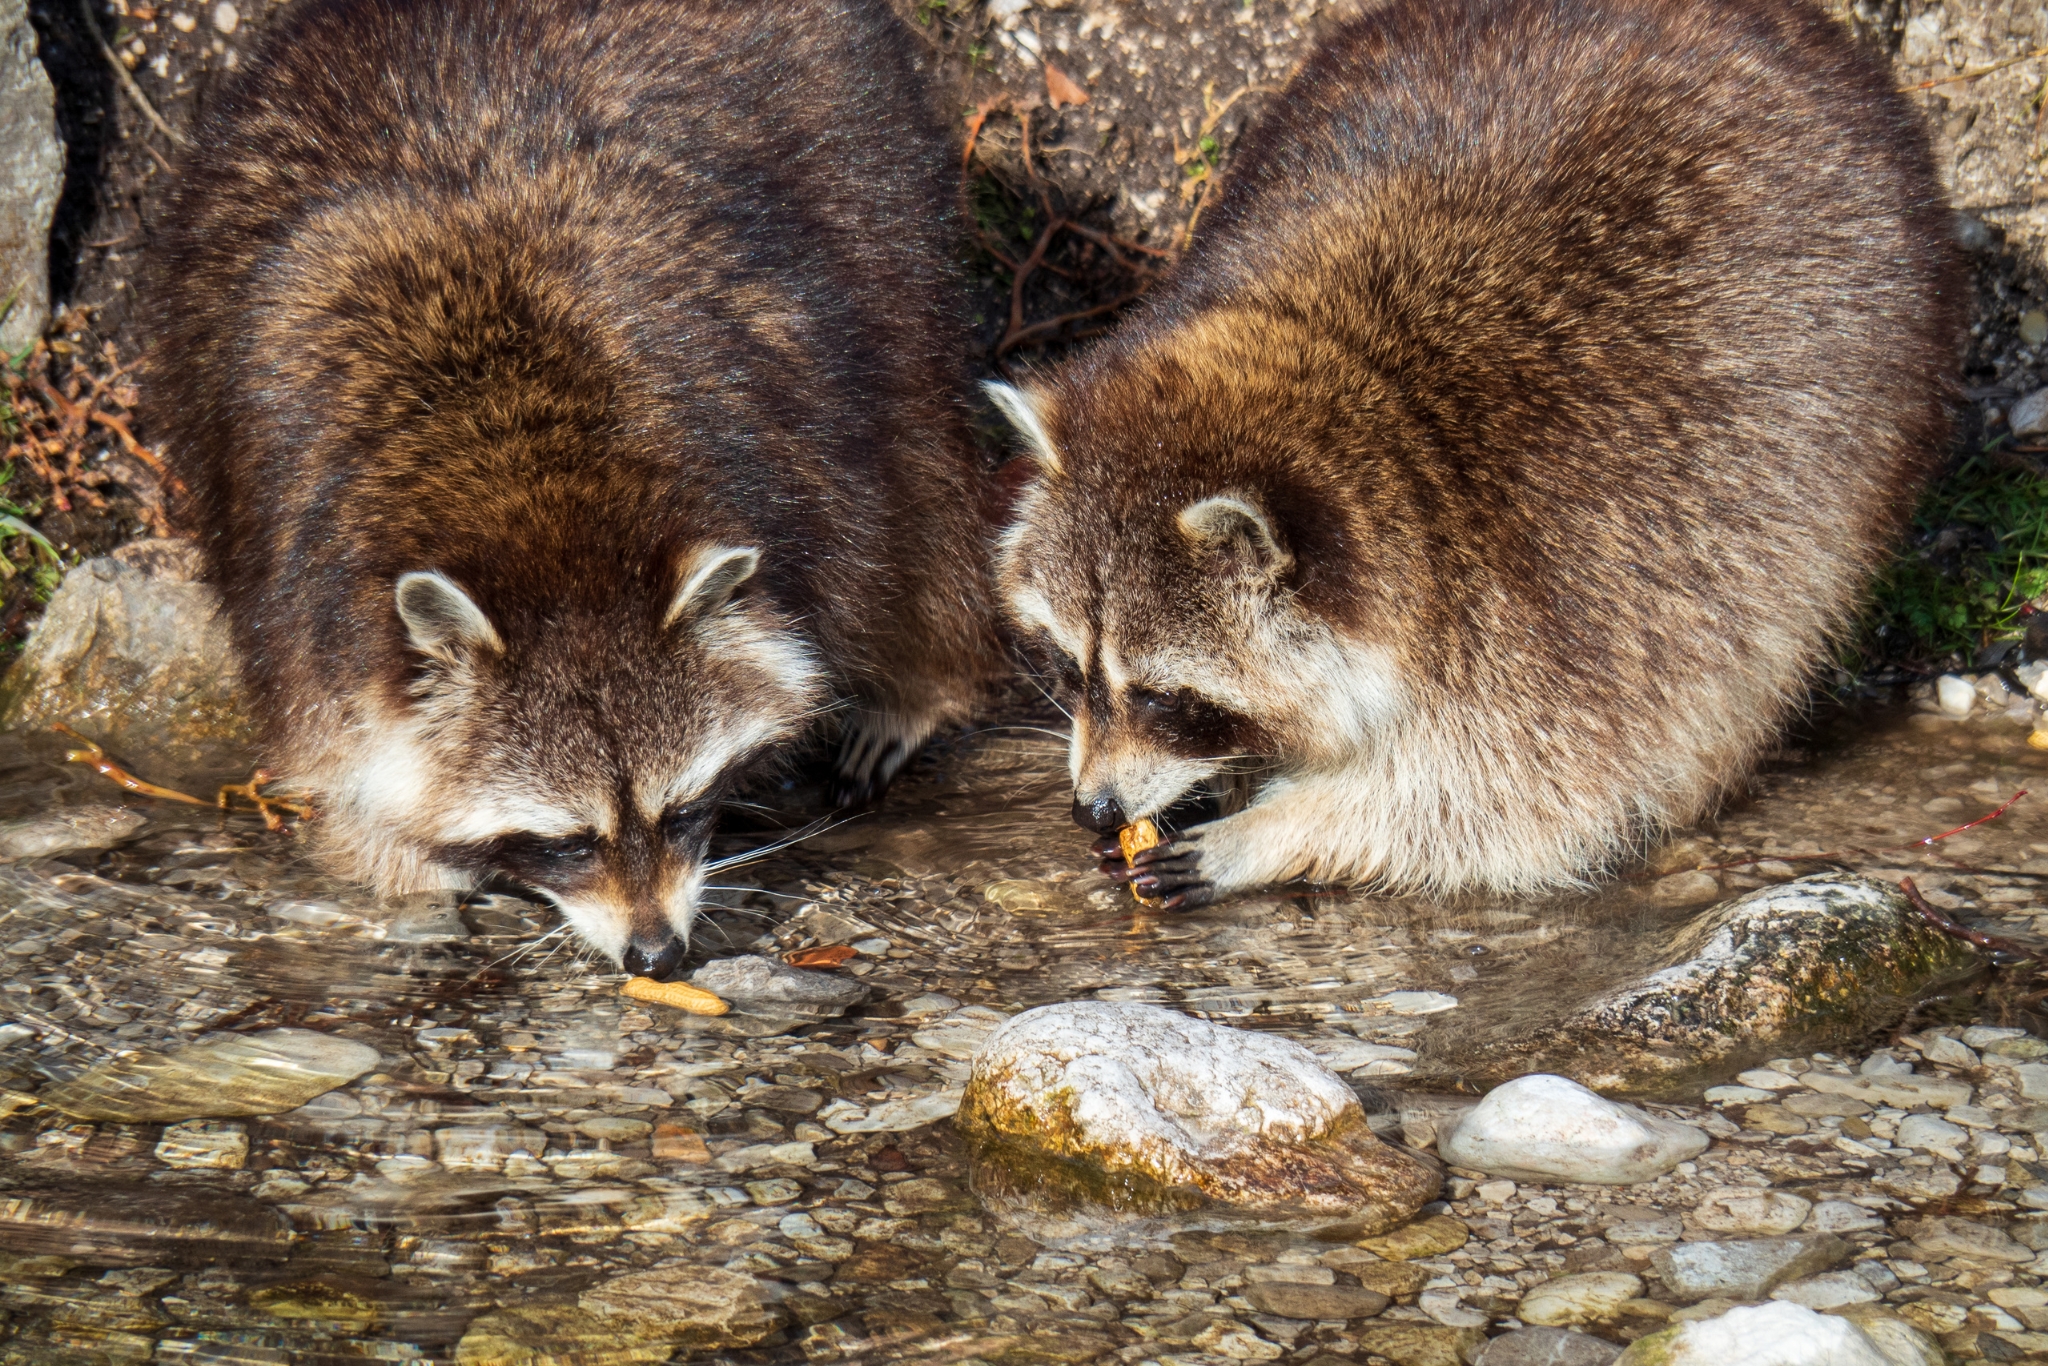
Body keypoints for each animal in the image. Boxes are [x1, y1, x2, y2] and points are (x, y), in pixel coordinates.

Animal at [146, 0, 998, 975]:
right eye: (567, 842)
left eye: (681, 810)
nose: (657, 956)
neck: (538, 500)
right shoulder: (296, 577)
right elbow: (334, 734)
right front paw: (403, 854)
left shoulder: (794, 459)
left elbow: (860, 538)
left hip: (874, 186)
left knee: (916, 450)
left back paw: (920, 680)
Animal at [991, 0, 1960, 907]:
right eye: (1070, 666)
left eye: (1166, 698)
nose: (1094, 810)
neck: (1357, 381)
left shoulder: (1552, 609)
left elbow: (1514, 804)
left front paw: (1274, 830)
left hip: (1868, 413)